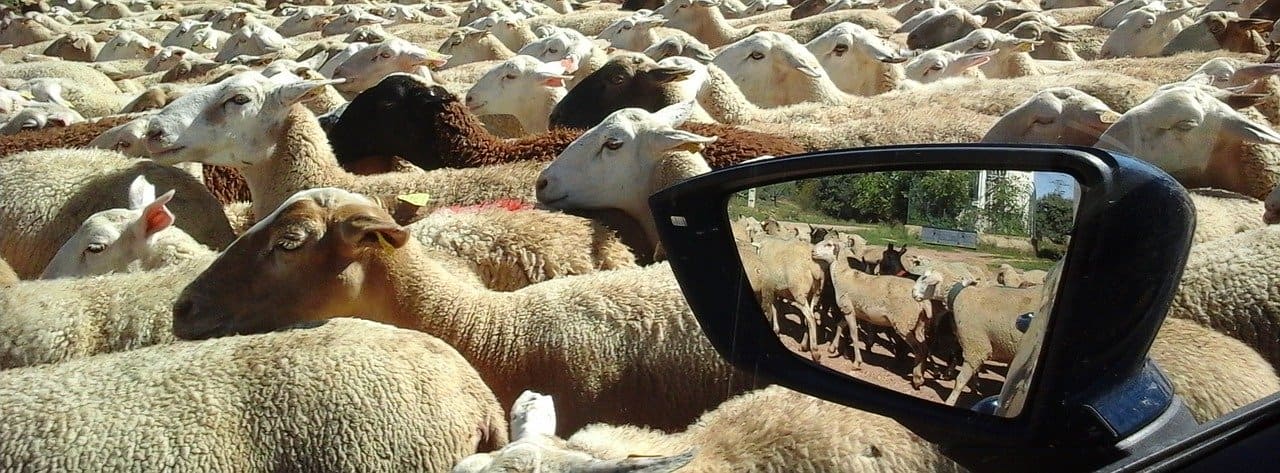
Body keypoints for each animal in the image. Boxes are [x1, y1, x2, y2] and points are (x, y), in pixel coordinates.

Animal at [911, 269, 1042, 405]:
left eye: (924, 278)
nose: (912, 292)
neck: (960, 296)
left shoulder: (976, 346)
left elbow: (960, 381)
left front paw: (950, 401)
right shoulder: (977, 345)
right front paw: (975, 385)